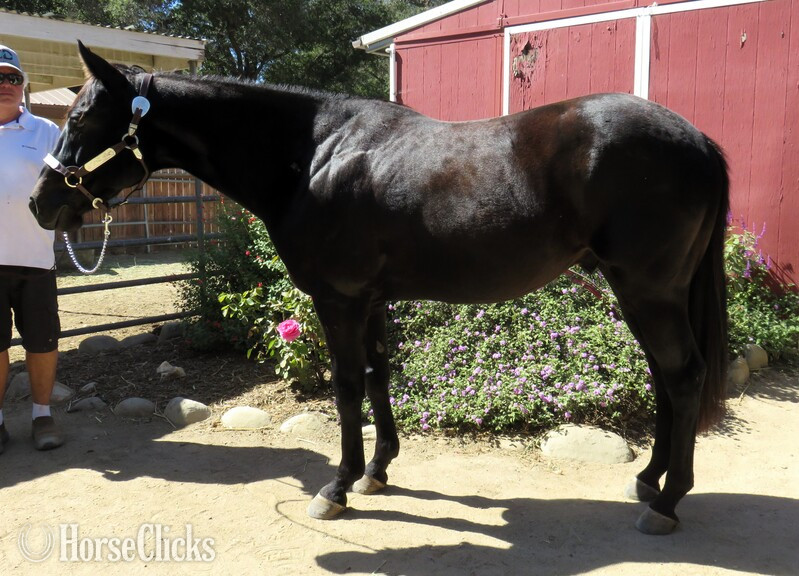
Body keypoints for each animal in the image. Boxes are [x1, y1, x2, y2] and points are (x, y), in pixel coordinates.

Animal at [31, 41, 729, 535]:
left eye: (83, 117)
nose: (40, 204)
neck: (313, 157)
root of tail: (697, 139)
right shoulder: (370, 300)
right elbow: (376, 375)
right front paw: (376, 470)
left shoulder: (337, 300)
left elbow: (344, 388)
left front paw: (336, 488)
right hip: (643, 294)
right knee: (665, 377)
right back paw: (648, 479)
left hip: (648, 291)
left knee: (683, 375)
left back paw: (667, 502)